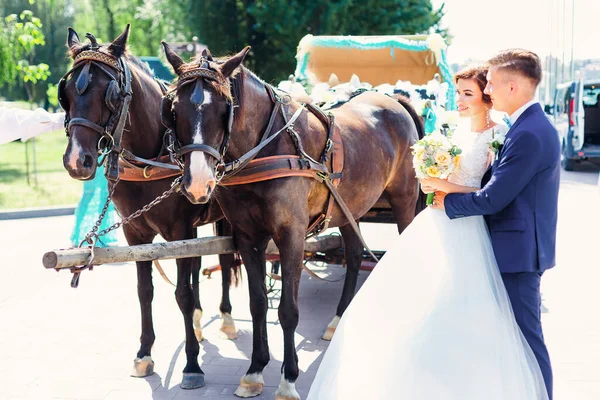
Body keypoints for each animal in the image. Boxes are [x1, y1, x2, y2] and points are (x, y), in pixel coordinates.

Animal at [59, 24, 239, 388]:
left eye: (111, 94)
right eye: (66, 92)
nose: (76, 161)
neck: (151, 158)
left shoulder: (180, 229)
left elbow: (182, 294)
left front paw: (192, 364)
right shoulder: (135, 232)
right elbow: (145, 290)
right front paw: (144, 354)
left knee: (225, 260)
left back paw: (225, 319)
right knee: (199, 266)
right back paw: (198, 322)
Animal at [162, 42, 420, 398]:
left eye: (226, 107)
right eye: (174, 109)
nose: (198, 182)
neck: (267, 147)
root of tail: (394, 101)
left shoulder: (291, 236)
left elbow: (287, 309)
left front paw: (288, 379)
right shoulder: (248, 238)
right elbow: (258, 303)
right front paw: (255, 370)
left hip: (404, 201)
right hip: (349, 207)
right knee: (354, 255)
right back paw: (338, 320)